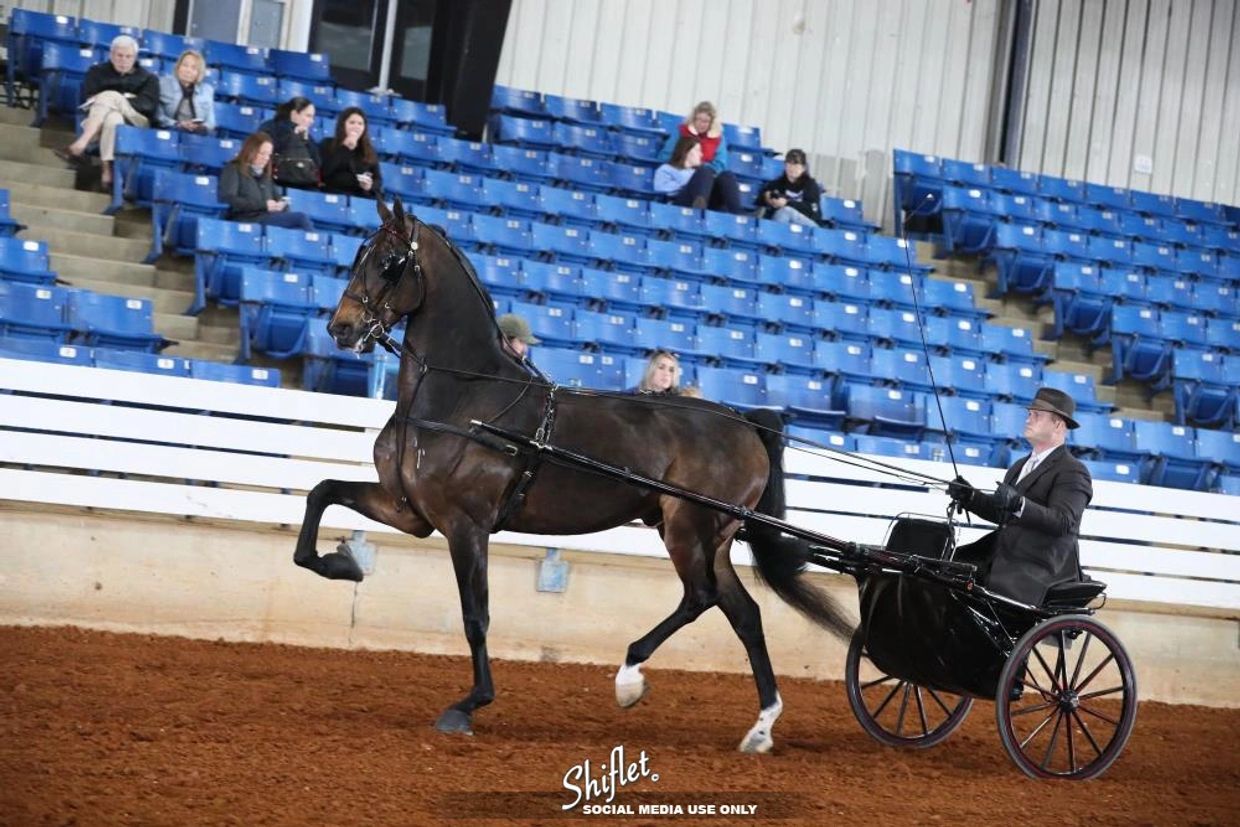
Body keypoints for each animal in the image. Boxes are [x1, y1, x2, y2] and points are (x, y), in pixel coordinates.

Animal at [294, 196, 853, 753]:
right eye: (359, 254)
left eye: (389, 261)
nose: (341, 328)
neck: (465, 395)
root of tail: (745, 421)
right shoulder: (411, 512)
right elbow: (321, 495)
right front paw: (342, 565)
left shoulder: (465, 524)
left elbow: (476, 614)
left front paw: (469, 704)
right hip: (710, 537)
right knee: (744, 614)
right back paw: (760, 726)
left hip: (687, 528)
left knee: (701, 597)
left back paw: (629, 676)